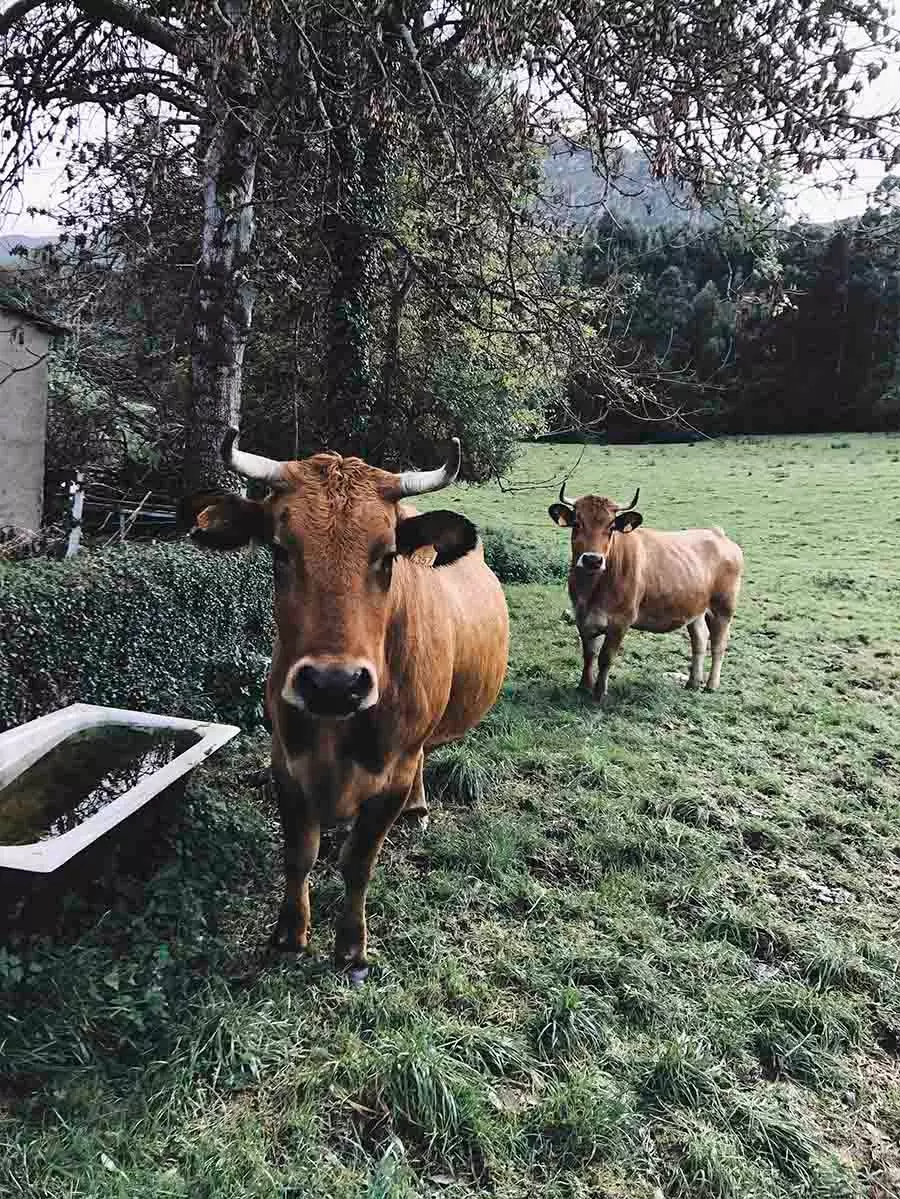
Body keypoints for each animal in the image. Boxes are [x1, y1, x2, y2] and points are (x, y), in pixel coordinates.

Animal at [186, 436, 510, 978]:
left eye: (387, 556)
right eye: (279, 550)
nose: (332, 684)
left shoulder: (393, 773)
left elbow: (359, 862)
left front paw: (351, 948)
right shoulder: (286, 760)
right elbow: (299, 853)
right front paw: (289, 934)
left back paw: (418, 808)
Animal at [548, 484, 747, 700]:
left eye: (611, 528)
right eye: (576, 523)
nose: (592, 559)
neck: (591, 589)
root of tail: (717, 534)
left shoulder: (621, 621)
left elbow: (605, 657)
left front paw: (600, 693)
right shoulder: (582, 615)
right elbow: (589, 653)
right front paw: (583, 686)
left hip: (723, 607)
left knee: (719, 643)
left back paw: (711, 685)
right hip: (695, 607)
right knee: (700, 639)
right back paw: (693, 682)